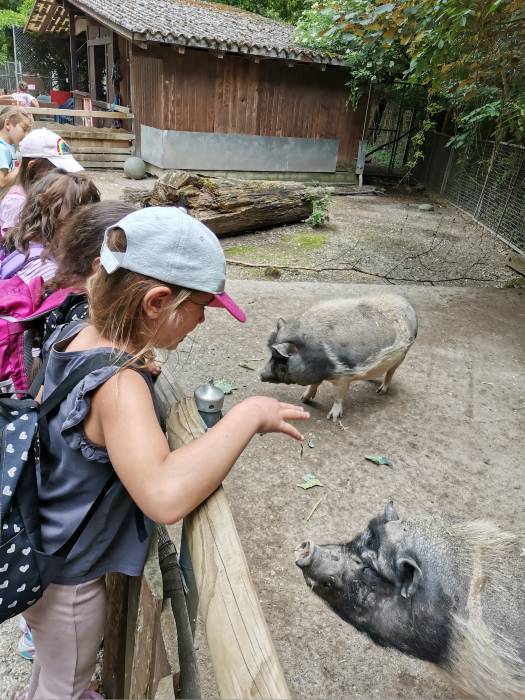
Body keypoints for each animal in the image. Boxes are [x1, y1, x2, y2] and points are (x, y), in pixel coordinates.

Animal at [256, 292, 416, 422]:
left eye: (280, 357)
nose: (260, 373)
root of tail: (407, 304)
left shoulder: (343, 376)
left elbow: (338, 396)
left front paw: (332, 418)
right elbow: (314, 385)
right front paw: (303, 399)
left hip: (403, 354)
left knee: (391, 372)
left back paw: (381, 391)